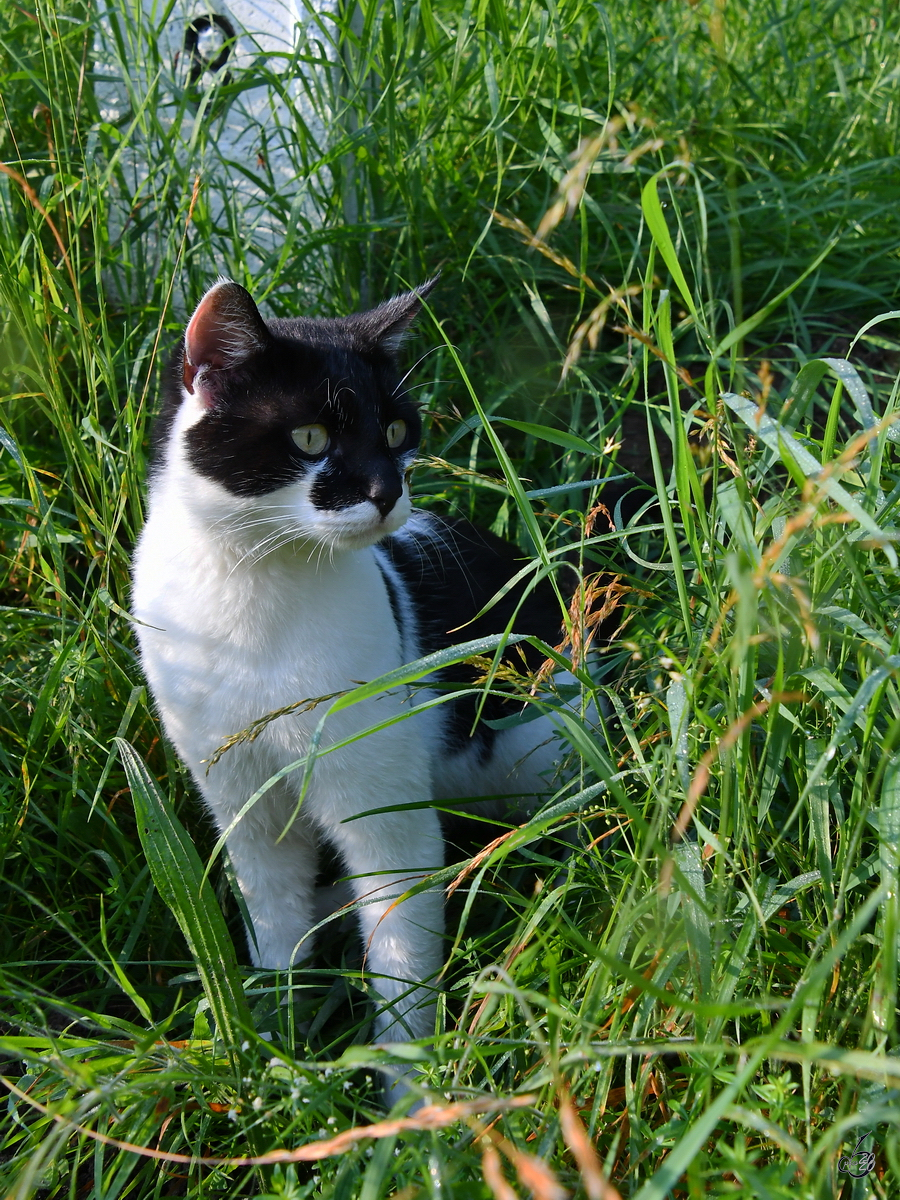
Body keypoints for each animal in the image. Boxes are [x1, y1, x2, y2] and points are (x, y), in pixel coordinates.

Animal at [130, 278, 566, 1060]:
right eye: (310, 438)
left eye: (395, 433)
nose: (388, 492)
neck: (259, 590)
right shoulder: (240, 798)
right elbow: (273, 922)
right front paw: (278, 1037)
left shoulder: (383, 813)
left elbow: (401, 955)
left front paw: (403, 1081)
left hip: (536, 759)